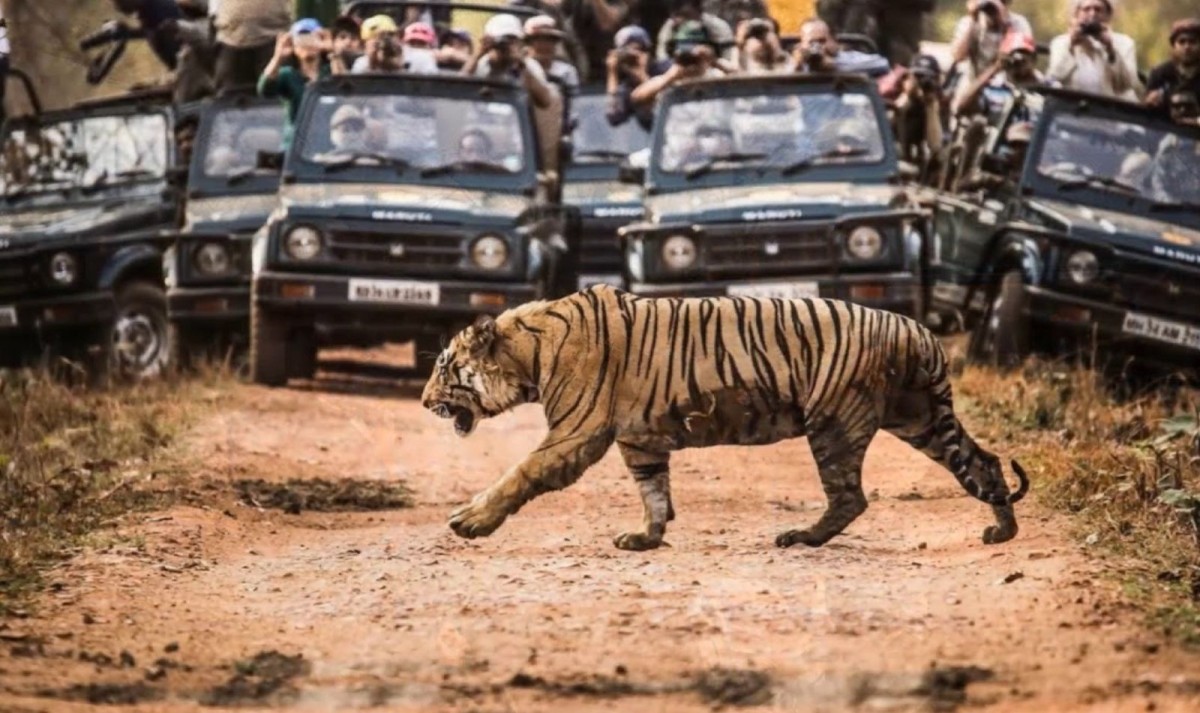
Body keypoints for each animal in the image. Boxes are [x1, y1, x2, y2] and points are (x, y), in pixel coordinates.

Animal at [421, 284, 1028, 552]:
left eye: (445, 367)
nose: (425, 402)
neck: (527, 352)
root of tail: (920, 331)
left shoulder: (576, 432)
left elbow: (518, 474)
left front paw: (469, 521)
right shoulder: (640, 441)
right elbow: (654, 491)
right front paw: (646, 537)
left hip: (835, 422)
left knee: (851, 496)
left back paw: (801, 538)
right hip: (919, 418)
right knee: (984, 462)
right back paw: (1001, 530)